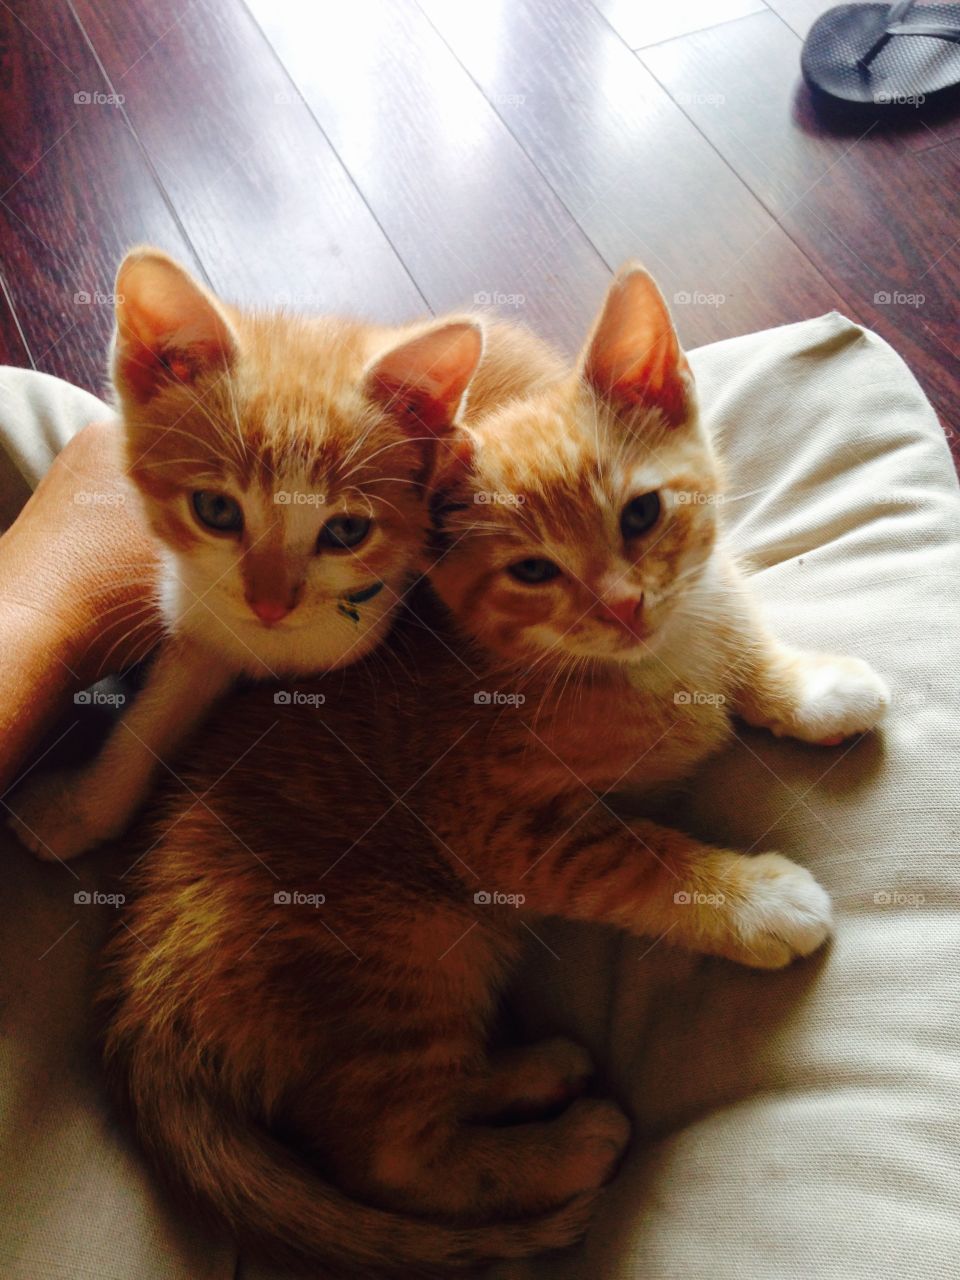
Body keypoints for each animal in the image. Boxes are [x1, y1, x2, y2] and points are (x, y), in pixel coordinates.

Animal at [7, 244, 483, 865]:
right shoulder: (200, 625)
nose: (270, 606)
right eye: (215, 509)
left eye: (346, 530)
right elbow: (149, 722)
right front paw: (81, 809)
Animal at [101, 264, 890, 1274]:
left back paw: (532, 1068)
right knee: (393, 1158)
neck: (629, 666)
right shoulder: (498, 832)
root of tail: (143, 1001)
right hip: (414, 949)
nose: (625, 606)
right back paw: (568, 1143)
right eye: (533, 572)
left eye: (642, 514)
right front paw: (755, 901)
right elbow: (637, 859)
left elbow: (738, 638)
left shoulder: (701, 604)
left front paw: (810, 687)